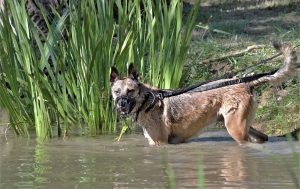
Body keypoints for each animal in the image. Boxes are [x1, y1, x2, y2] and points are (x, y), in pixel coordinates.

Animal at [109, 42, 298, 145]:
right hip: (242, 125)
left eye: (130, 91)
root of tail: (246, 82)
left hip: (236, 130)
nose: (122, 104)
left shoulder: (160, 143)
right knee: (263, 137)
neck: (148, 101)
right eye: (116, 92)